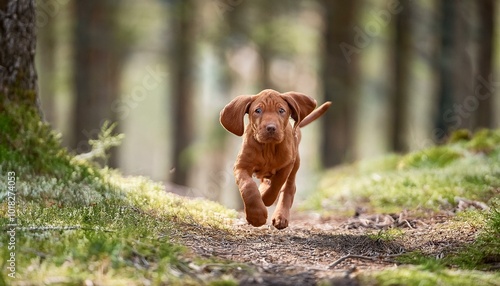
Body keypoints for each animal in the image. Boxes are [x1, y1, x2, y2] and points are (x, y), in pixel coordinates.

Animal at [220, 89, 330, 230]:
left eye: (281, 110)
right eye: (258, 110)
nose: (271, 128)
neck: (268, 147)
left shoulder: (287, 164)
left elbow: (277, 184)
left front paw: (264, 199)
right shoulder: (241, 166)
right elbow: (248, 186)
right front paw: (256, 215)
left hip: (295, 164)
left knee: (288, 188)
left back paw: (280, 217)